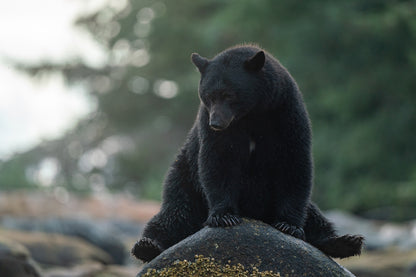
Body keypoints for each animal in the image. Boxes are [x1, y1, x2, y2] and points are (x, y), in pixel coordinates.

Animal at [132, 43, 362, 260]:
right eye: (208, 95)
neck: (253, 114)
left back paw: (345, 241)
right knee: (174, 215)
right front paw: (224, 216)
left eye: (229, 95)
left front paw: (289, 225)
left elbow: (294, 163)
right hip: (184, 180)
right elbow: (218, 161)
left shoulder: (287, 115)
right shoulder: (216, 129)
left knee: (315, 215)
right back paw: (147, 245)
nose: (216, 123)